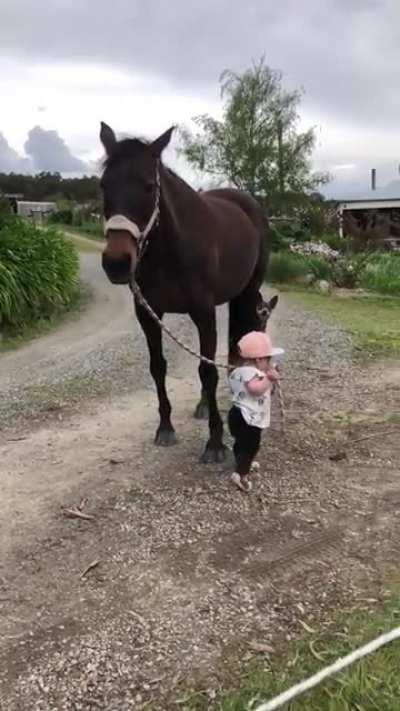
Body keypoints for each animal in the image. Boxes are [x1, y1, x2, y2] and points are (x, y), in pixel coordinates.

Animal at [99, 122, 276, 463]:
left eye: (148, 186)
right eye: (103, 185)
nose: (116, 263)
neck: (170, 249)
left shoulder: (203, 313)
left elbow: (207, 370)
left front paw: (215, 442)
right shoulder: (148, 314)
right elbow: (158, 367)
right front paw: (165, 427)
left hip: (247, 292)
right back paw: (204, 404)